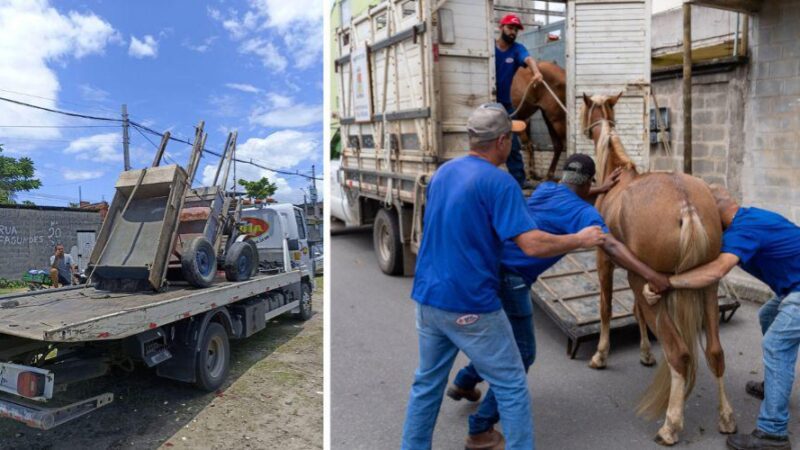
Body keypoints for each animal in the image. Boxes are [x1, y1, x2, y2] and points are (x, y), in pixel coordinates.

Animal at [580, 93, 736, 444]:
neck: (618, 176)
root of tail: (686, 206)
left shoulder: (606, 262)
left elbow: (607, 308)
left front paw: (601, 355)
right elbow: (636, 312)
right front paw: (645, 354)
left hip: (649, 284)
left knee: (679, 354)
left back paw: (670, 425)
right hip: (707, 286)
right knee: (716, 352)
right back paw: (726, 417)